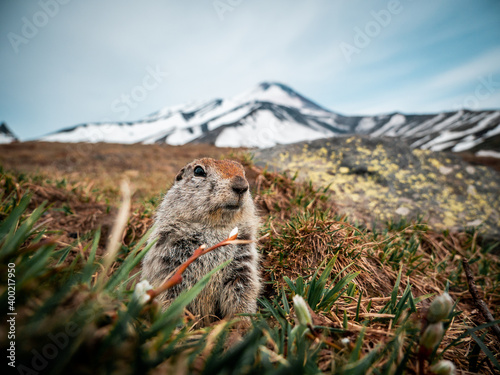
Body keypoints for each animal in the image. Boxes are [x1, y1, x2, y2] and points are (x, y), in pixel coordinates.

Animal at [142, 157, 262, 324]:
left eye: (243, 171)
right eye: (198, 171)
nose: (241, 186)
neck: (214, 228)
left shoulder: (243, 259)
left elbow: (243, 288)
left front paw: (241, 323)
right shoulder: (167, 258)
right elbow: (168, 293)